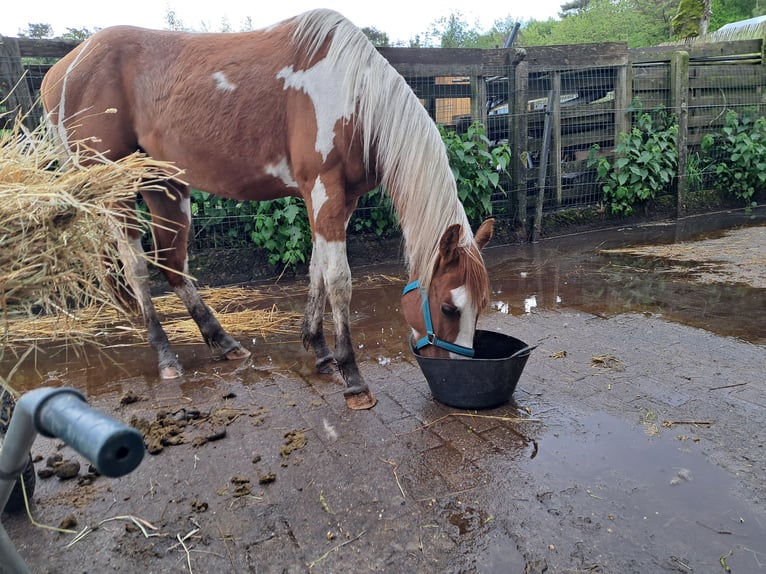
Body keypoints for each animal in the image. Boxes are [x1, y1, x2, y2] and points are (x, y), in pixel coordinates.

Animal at [42, 10, 496, 414]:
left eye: (481, 306)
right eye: (449, 308)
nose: (460, 371)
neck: (355, 98)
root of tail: (61, 70)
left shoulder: (339, 200)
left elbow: (317, 271)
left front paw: (319, 350)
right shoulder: (324, 191)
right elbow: (339, 281)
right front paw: (352, 378)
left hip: (165, 184)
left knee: (172, 263)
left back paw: (223, 342)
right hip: (117, 188)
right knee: (137, 266)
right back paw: (166, 356)